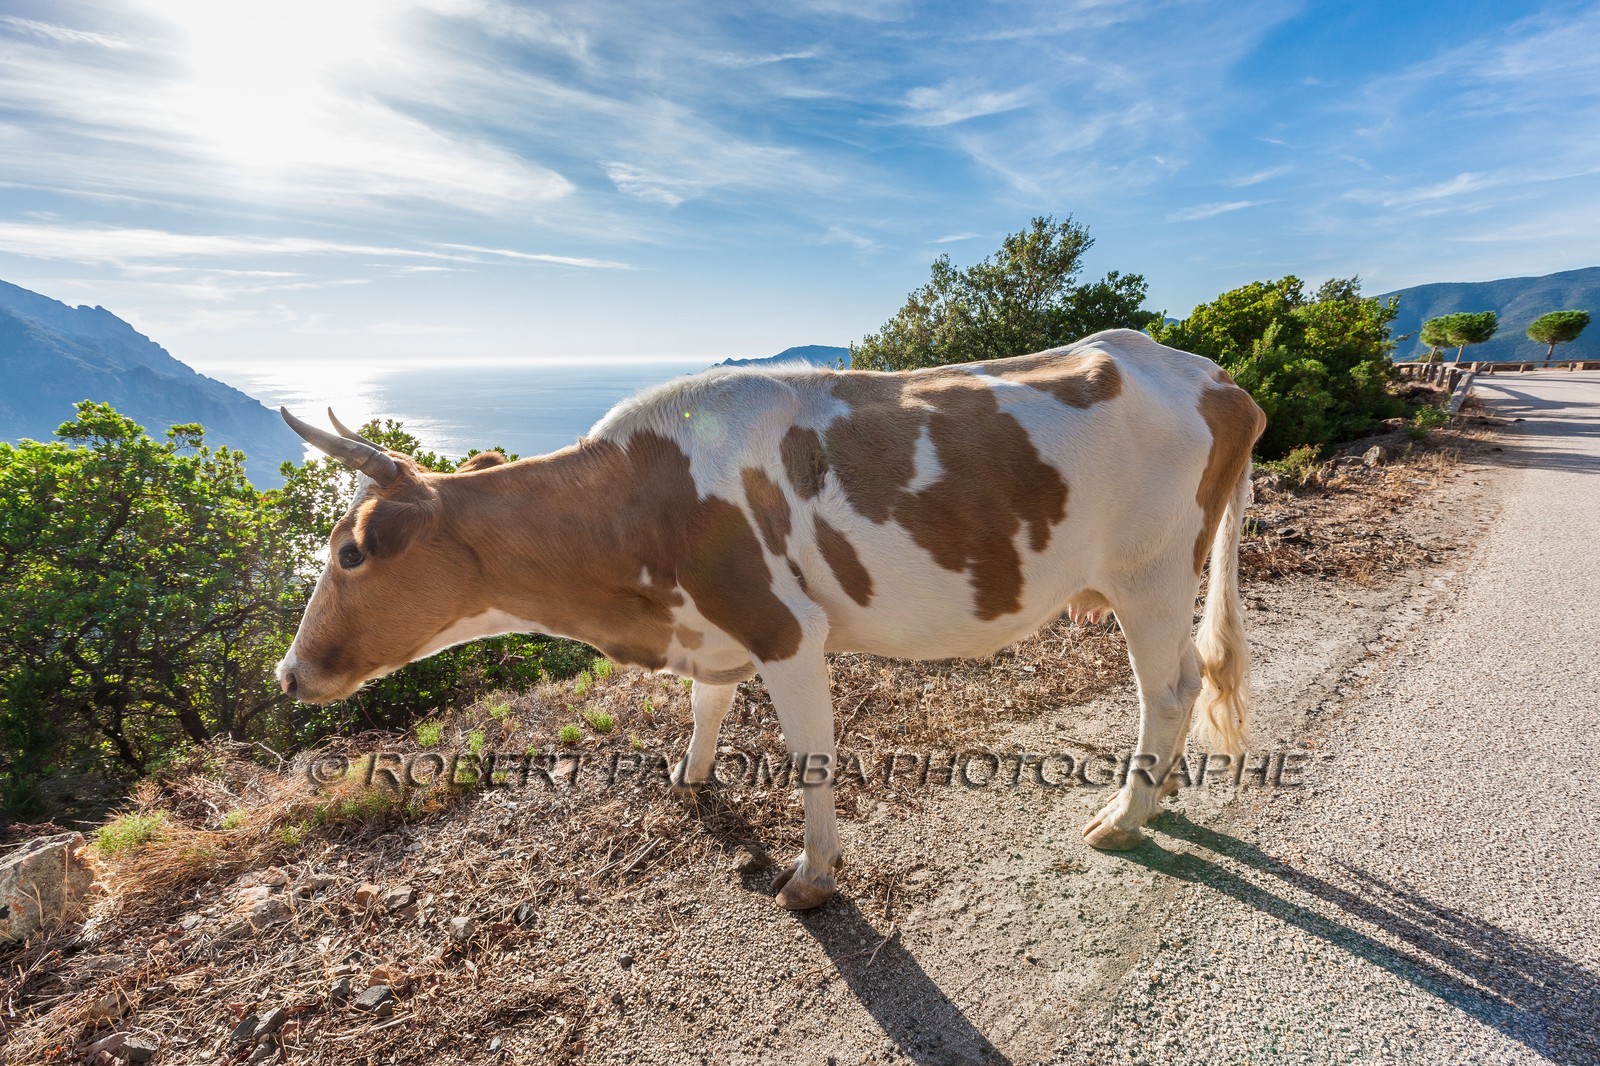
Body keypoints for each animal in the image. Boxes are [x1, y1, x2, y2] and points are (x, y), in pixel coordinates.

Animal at [276, 328, 1266, 910]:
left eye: (350, 552)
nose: (289, 674)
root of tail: (1203, 370)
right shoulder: (712, 631)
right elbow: (706, 708)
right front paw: (689, 780)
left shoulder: (787, 631)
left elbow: (811, 758)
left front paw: (814, 875)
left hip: (1149, 574)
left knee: (1171, 688)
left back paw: (1125, 815)